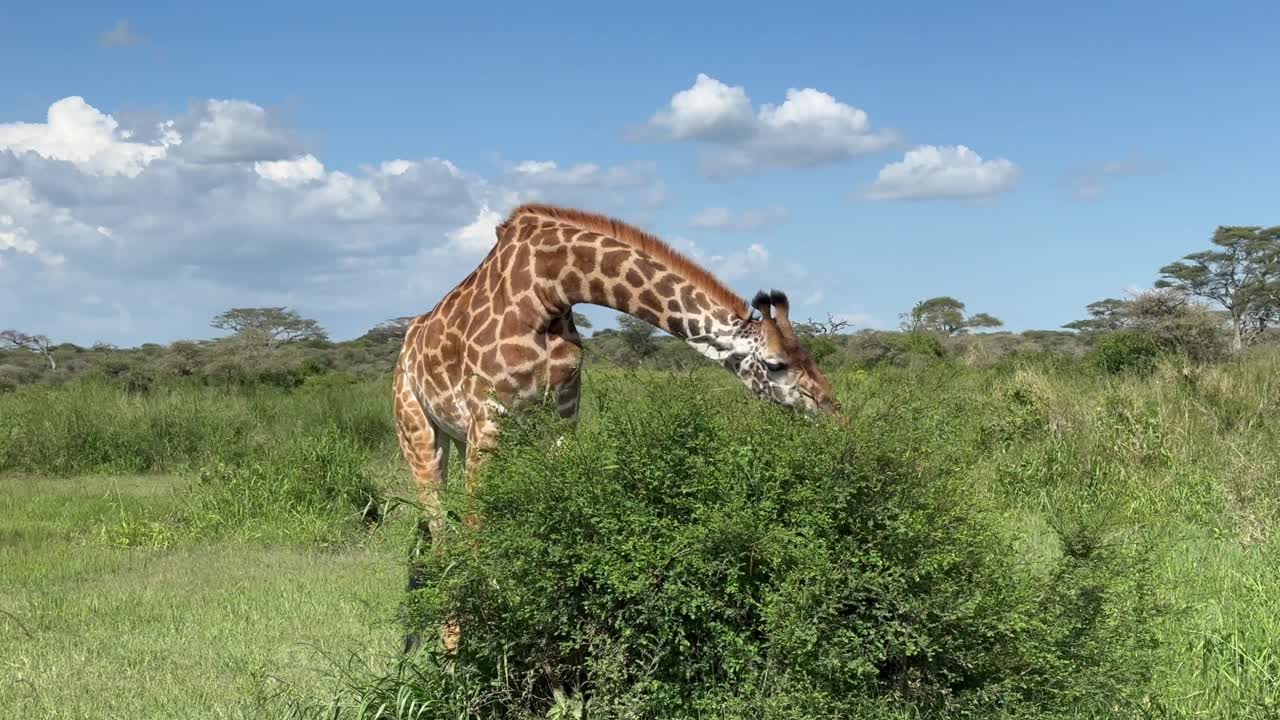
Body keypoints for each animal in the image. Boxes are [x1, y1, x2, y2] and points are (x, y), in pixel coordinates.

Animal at [394, 203, 840, 650]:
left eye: (808, 354)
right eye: (776, 364)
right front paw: (472, 638)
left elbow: (558, 511)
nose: (834, 412)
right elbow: (476, 524)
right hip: (420, 432)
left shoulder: (563, 415)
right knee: (439, 524)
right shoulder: (489, 416)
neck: (551, 289)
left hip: (461, 435)